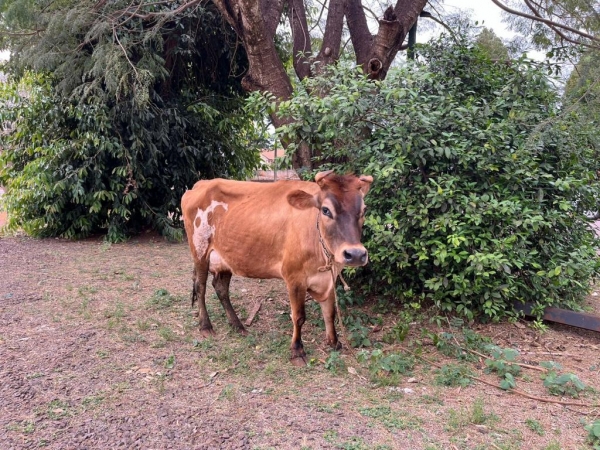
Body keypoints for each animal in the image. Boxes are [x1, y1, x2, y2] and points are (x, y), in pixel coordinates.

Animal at [180, 171, 372, 364]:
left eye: (364, 210)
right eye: (325, 210)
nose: (355, 254)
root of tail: (201, 184)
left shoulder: (330, 279)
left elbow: (329, 312)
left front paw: (334, 342)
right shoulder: (294, 278)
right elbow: (298, 317)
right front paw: (297, 351)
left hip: (227, 258)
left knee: (220, 288)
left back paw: (238, 325)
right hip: (200, 251)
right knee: (200, 287)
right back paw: (206, 326)